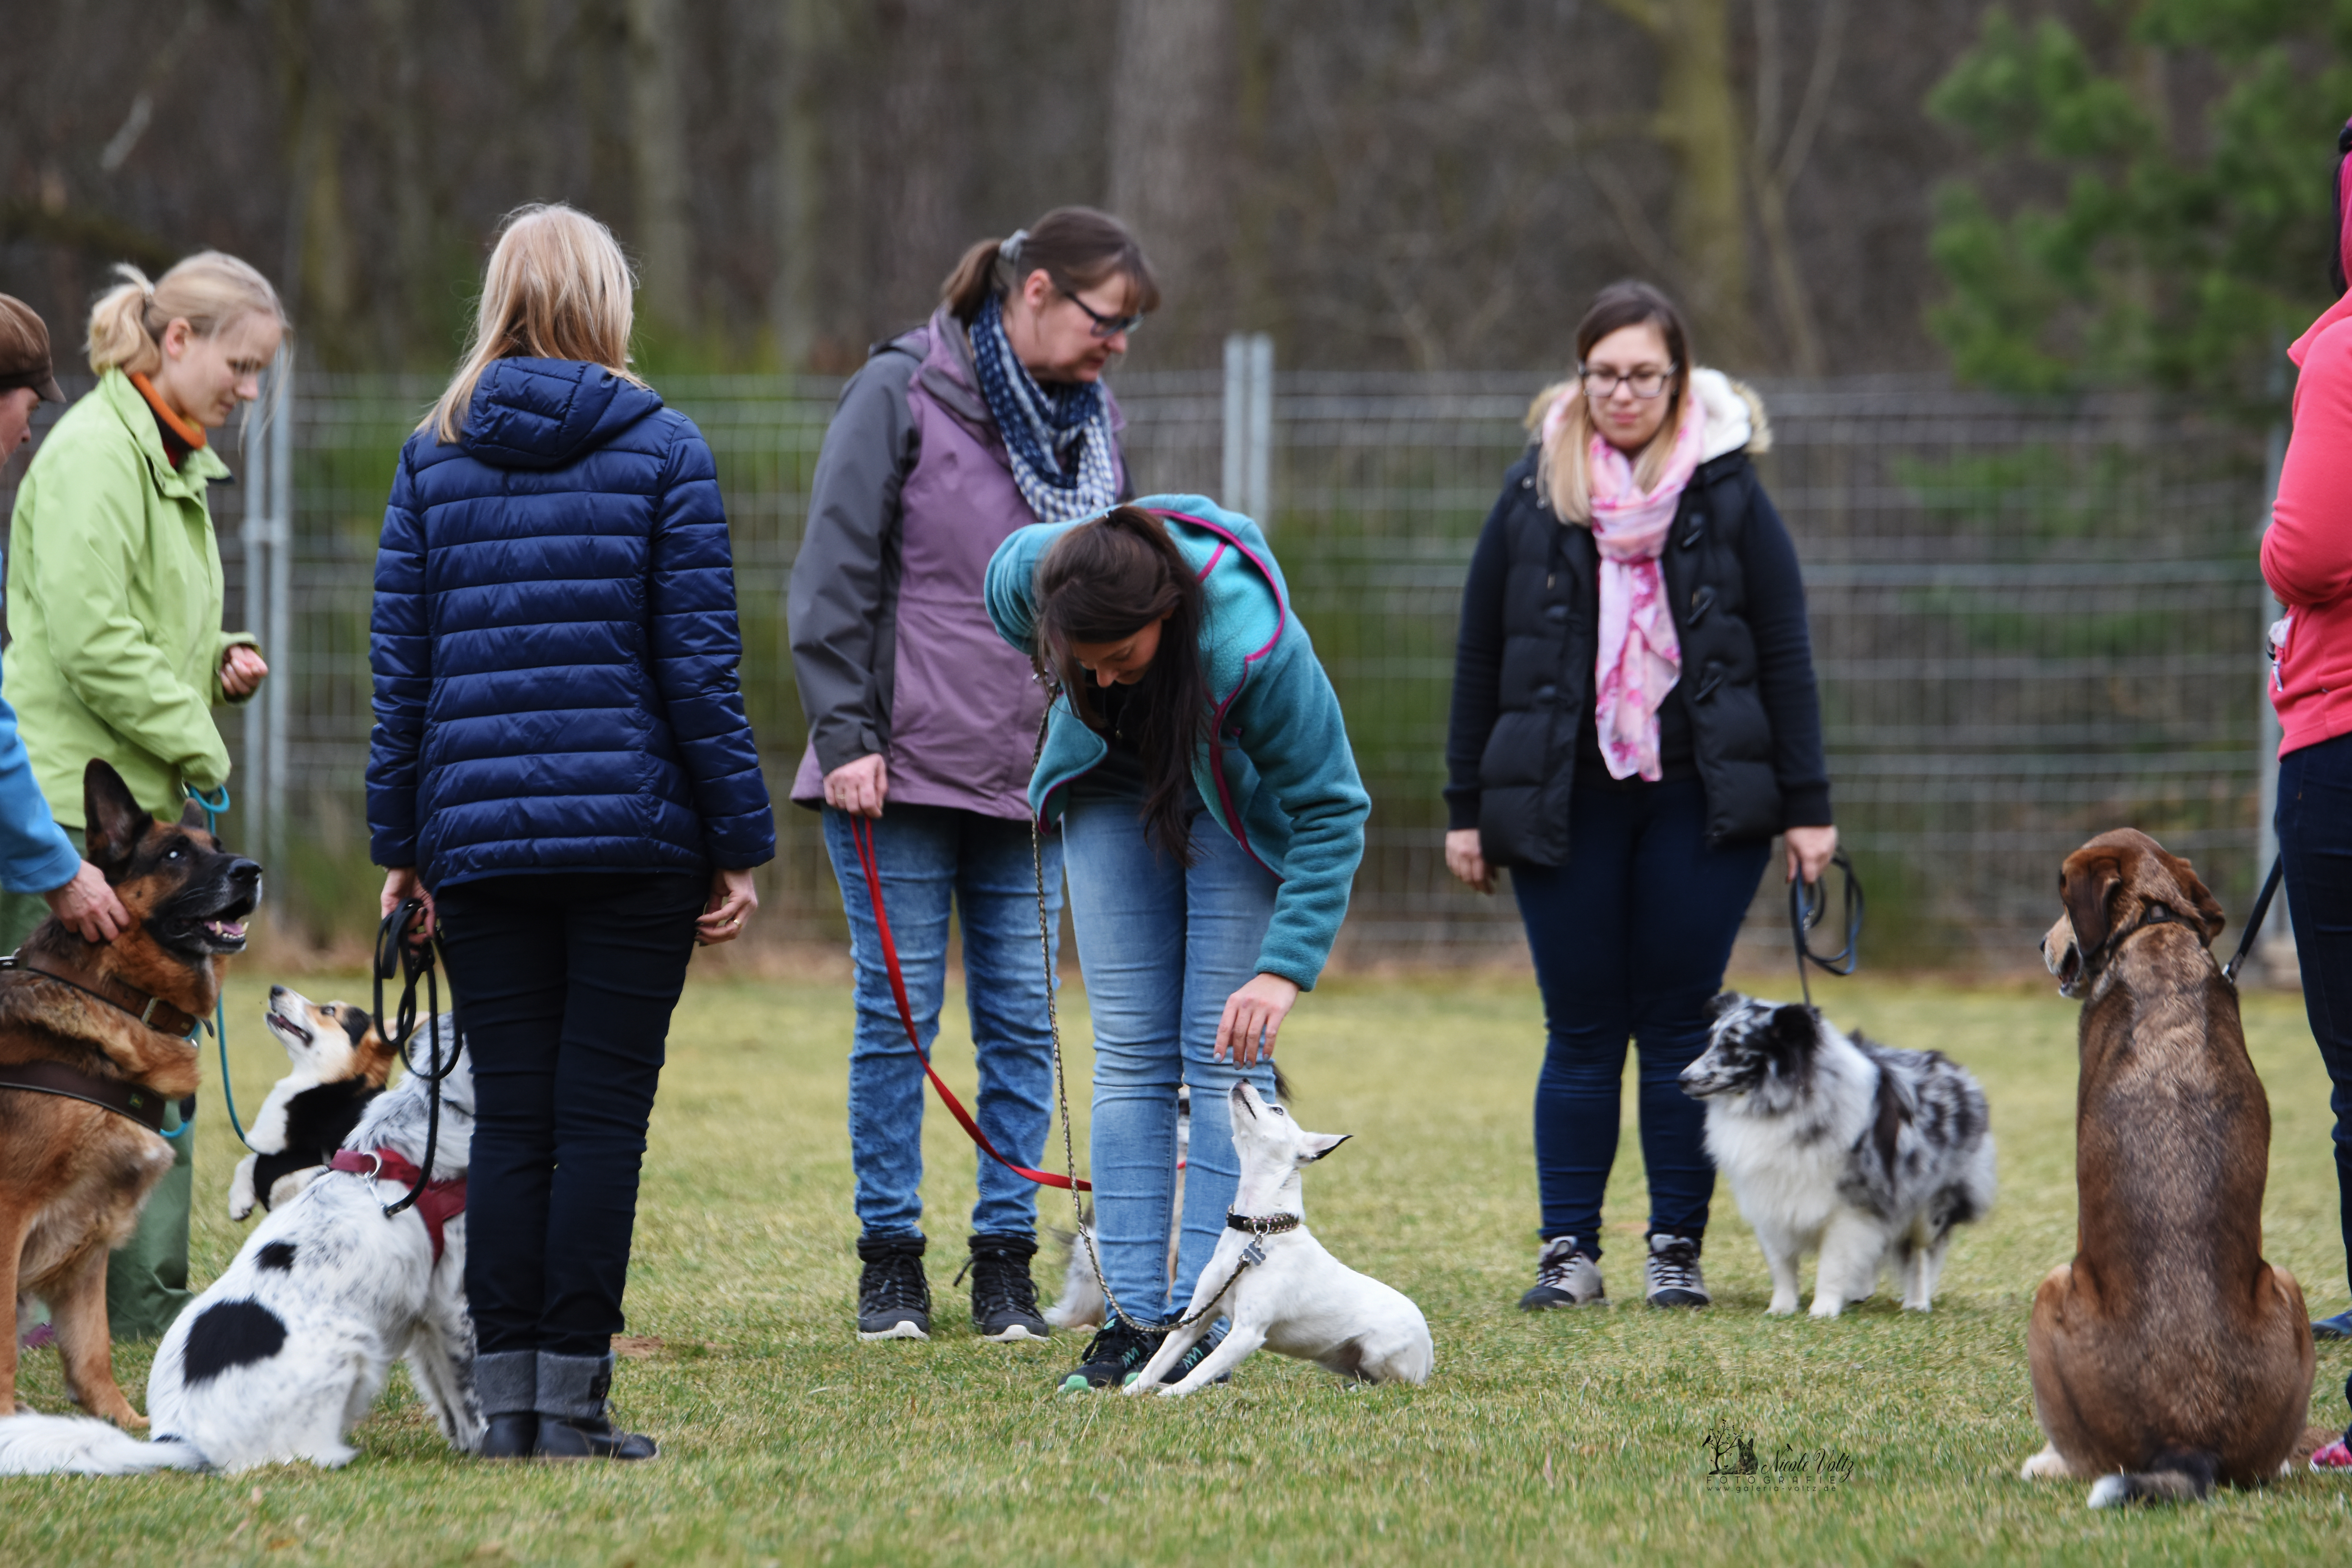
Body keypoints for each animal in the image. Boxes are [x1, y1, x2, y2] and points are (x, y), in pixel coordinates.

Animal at [0, 762, 260, 1439]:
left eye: (219, 848)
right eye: (174, 855)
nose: (251, 871)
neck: (116, 992)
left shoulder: (90, 1230)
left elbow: (93, 1348)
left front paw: (126, 1426)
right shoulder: (10, 1214)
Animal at [0, 1020, 480, 1476]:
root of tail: (179, 1439)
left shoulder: (425, 1312)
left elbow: (443, 1392)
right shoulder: (451, 1305)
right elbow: (466, 1392)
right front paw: (484, 1449)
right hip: (352, 1345)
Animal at [1124, 1081, 1430, 1401]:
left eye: (1278, 1109)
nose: (1243, 1081)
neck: (1257, 1230)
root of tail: (1429, 1354)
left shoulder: (1247, 1333)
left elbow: (1199, 1372)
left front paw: (1168, 1397)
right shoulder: (1195, 1320)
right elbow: (1156, 1365)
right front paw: (1128, 1394)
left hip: (1379, 1352)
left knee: (1394, 1384)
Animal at [1684, 1001, 1994, 1316]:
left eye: (1733, 1045)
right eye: (1710, 1040)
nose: (1682, 1079)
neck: (1782, 1106)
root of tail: (1957, 1072)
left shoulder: (1849, 1208)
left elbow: (1833, 1265)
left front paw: (1823, 1310)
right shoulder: (1770, 1200)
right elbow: (1781, 1264)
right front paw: (1781, 1308)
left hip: (1925, 1207)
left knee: (1920, 1254)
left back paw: (1917, 1302)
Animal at [2023, 832, 2314, 1504]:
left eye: (2061, 895)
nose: (2041, 945)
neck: (2154, 927)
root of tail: (2189, 1444)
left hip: (2052, 1286)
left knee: (2081, 1459)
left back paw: (2046, 1464)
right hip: (2289, 1286)